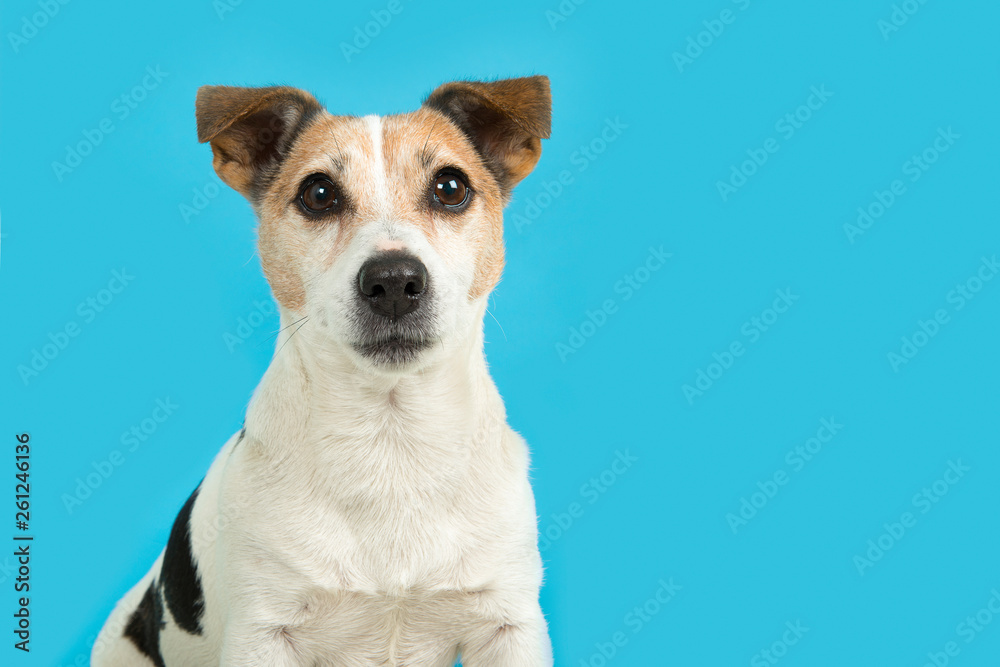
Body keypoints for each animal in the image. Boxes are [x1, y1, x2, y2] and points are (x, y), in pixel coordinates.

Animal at [93, 75, 556, 664]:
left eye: (451, 187)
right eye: (318, 194)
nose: (394, 280)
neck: (390, 438)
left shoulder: (507, 624)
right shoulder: (264, 632)